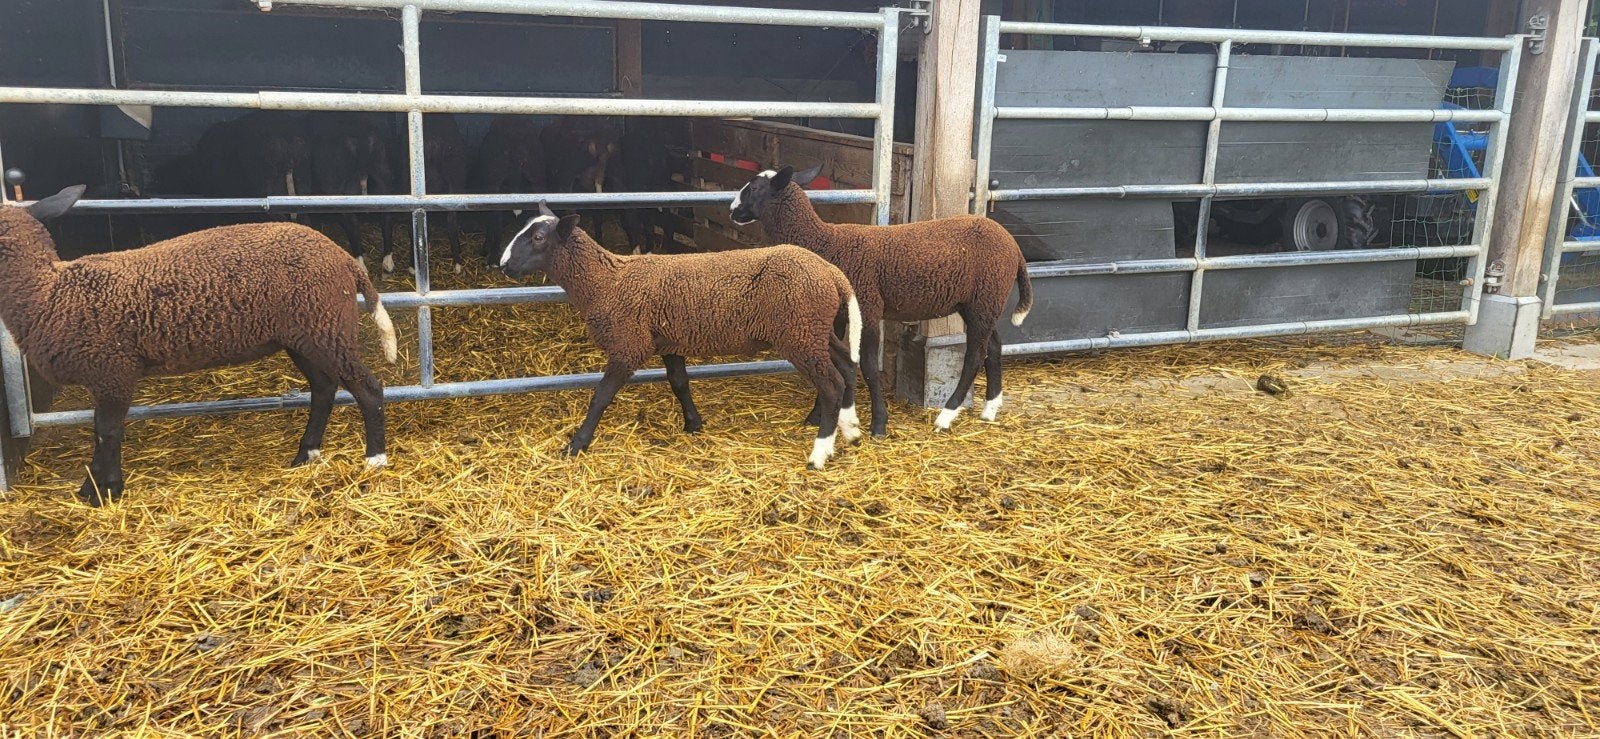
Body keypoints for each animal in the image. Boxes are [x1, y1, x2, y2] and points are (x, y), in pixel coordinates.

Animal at [0, 186, 398, 506]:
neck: (48, 293)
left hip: (324, 328)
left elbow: (106, 432)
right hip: (305, 335)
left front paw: (103, 491)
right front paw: (95, 489)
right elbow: (102, 432)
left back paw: (374, 458)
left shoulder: (113, 370)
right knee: (324, 387)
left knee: (367, 388)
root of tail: (344, 260)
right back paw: (306, 454)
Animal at [498, 202, 863, 469]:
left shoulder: (629, 344)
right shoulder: (669, 340)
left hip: (801, 333)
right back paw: (850, 430)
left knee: (832, 384)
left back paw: (819, 453)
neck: (605, 282)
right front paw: (693, 424)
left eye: (538, 237)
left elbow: (601, 396)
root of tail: (832, 273)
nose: (502, 264)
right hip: (817, 331)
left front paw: (577, 444)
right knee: (847, 369)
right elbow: (679, 382)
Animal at [730, 165, 1034, 438]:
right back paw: (990, 409)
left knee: (974, 355)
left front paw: (879, 424)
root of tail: (1013, 245)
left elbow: (867, 367)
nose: (732, 211)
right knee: (993, 347)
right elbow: (835, 362)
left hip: (986, 298)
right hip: (980, 303)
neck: (824, 242)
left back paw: (946, 416)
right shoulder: (837, 315)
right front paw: (818, 415)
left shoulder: (868, 308)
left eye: (754, 188)